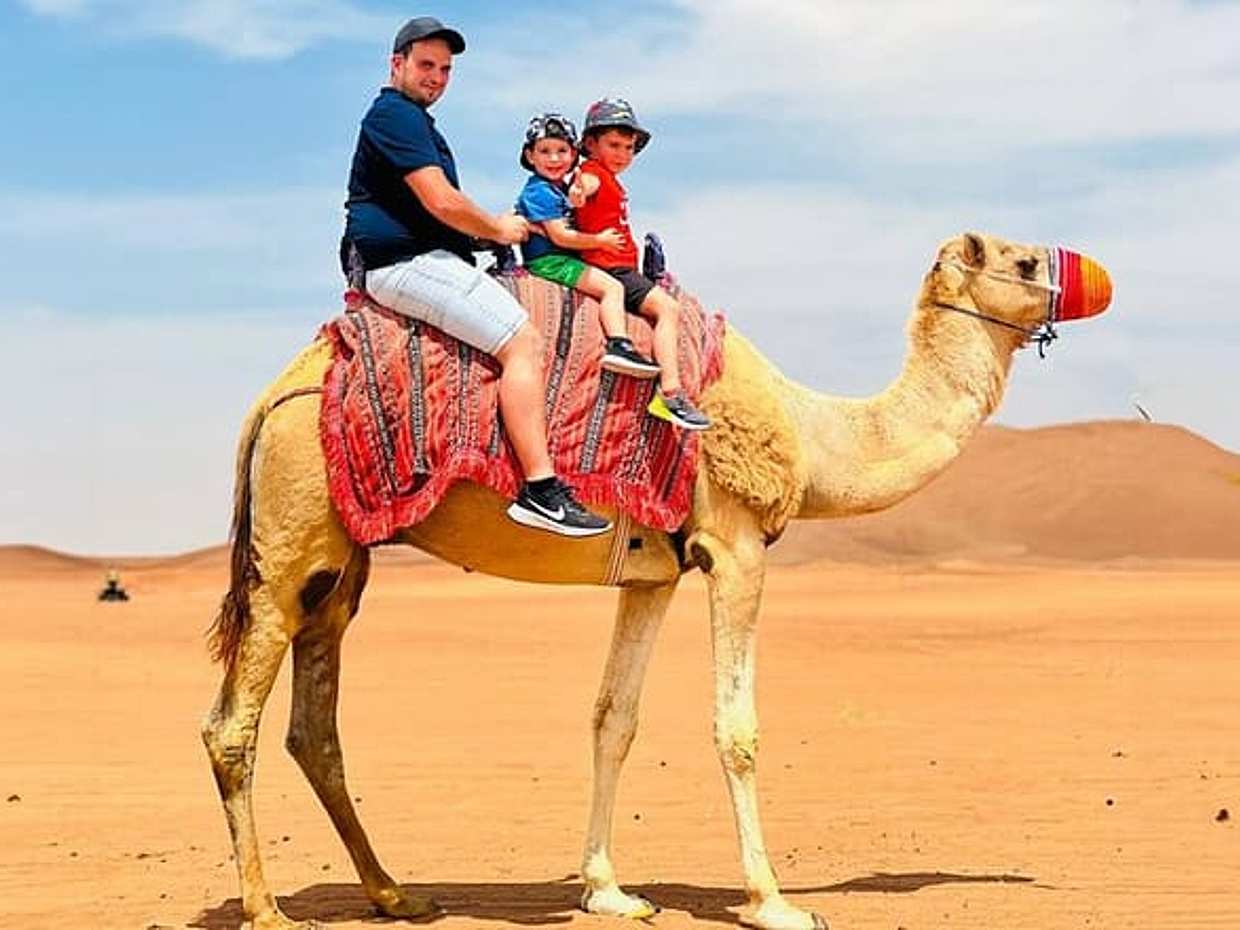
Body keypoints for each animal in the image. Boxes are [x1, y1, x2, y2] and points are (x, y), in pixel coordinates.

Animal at [202, 232, 1112, 930]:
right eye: (1024, 261)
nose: (1093, 277)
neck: (811, 433)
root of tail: (269, 397)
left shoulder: (653, 574)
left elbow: (614, 719)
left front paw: (608, 891)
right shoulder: (735, 547)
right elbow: (736, 728)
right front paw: (775, 903)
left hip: (339, 568)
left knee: (314, 728)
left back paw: (396, 896)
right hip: (290, 540)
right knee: (231, 725)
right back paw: (265, 909)